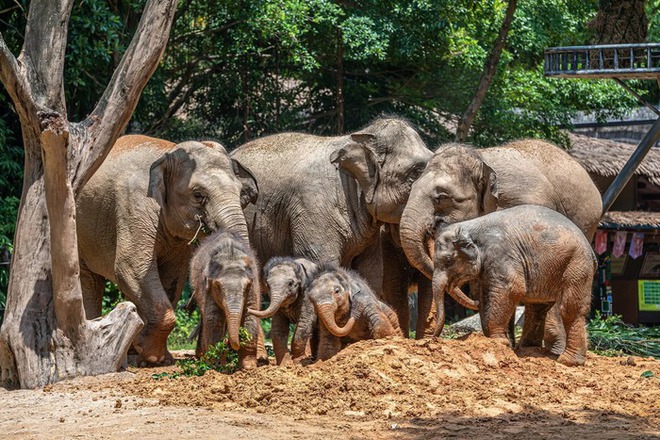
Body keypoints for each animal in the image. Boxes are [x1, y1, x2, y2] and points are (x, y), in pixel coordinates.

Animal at [75, 136, 255, 366]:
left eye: (241, 193)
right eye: (198, 195)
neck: (168, 153)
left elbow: (173, 277)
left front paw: (159, 358)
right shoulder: (135, 206)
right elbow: (130, 266)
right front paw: (151, 355)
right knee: (89, 280)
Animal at [189, 230, 262, 368]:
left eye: (247, 286)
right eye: (218, 287)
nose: (228, 343)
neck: (231, 256)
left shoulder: (254, 287)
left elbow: (250, 318)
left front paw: (248, 367)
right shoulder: (207, 288)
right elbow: (214, 318)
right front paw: (217, 365)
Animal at [430, 205, 596, 366]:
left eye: (448, 261)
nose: (434, 339)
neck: (469, 226)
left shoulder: (501, 254)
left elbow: (512, 289)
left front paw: (499, 342)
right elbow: (485, 296)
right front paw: (499, 342)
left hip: (577, 265)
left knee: (569, 309)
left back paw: (568, 361)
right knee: (537, 306)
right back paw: (527, 350)